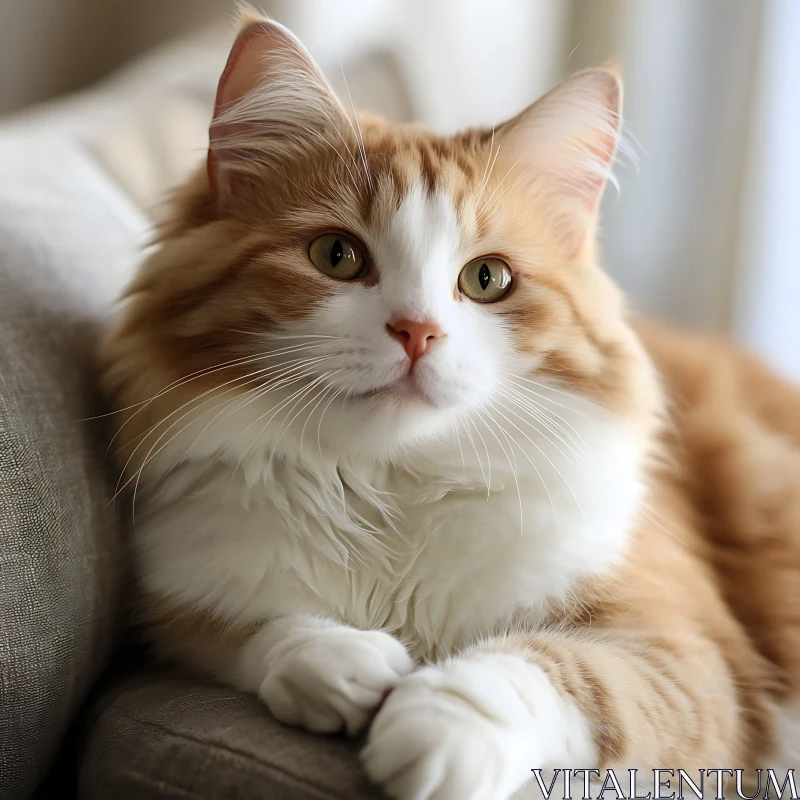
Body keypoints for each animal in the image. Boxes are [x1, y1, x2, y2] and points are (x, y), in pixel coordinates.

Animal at [100, 7, 800, 800]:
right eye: (337, 256)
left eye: (487, 279)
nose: (417, 332)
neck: (392, 487)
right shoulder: (186, 604)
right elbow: (267, 632)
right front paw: (341, 668)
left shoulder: (689, 656)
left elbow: (549, 666)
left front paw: (436, 725)